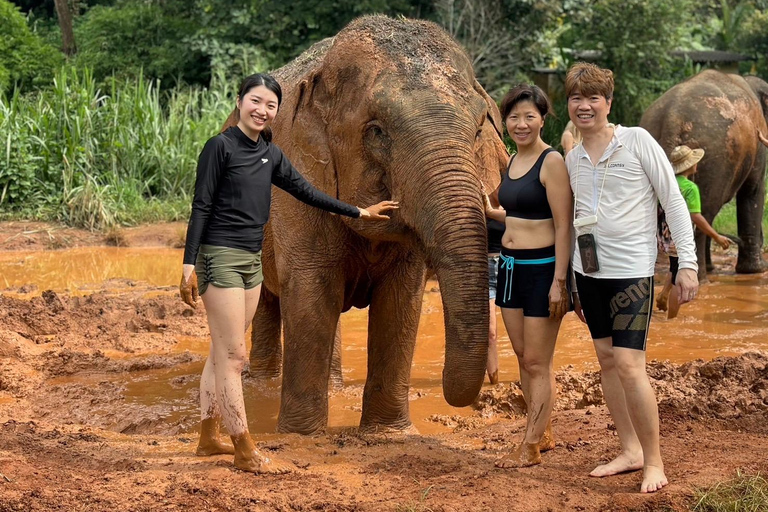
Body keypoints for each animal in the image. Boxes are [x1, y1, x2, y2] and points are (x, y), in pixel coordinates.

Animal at [222, 14, 510, 434]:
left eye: (476, 131)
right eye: (376, 131)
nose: (488, 384)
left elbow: (401, 299)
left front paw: (390, 434)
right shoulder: (297, 177)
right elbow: (310, 289)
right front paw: (302, 436)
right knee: (269, 298)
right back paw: (260, 384)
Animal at [640, 70, 768, 278]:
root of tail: (673, 117)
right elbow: (753, 191)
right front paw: (756, 270)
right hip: (714, 156)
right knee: (703, 212)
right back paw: (700, 277)